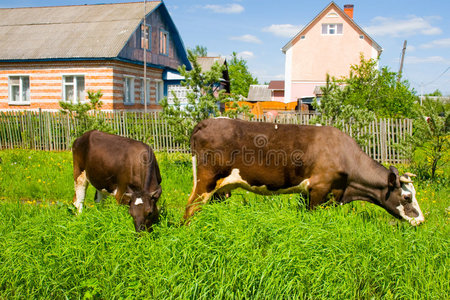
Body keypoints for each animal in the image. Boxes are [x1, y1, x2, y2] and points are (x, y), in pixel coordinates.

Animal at [182, 118, 422, 226]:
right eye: (406, 196)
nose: (421, 220)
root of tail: (206, 122)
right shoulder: (318, 189)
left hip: (221, 189)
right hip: (206, 181)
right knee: (190, 208)